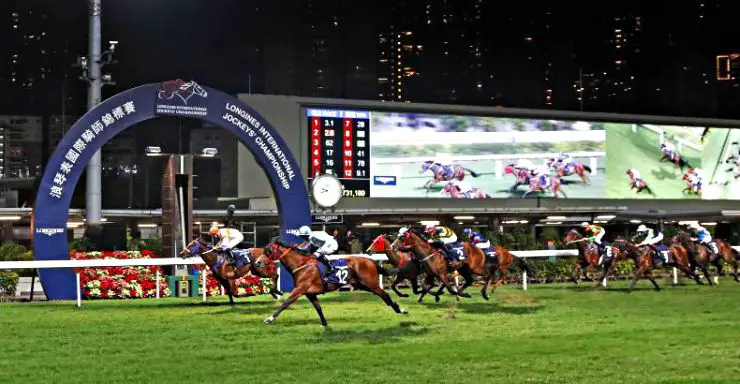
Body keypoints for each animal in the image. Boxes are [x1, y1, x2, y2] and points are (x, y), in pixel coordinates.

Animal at [262, 242, 410, 326]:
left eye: (268, 251)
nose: (258, 262)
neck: (301, 265)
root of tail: (371, 261)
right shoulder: (310, 293)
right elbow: (318, 308)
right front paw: (325, 323)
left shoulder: (300, 289)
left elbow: (285, 303)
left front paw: (269, 318)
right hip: (363, 285)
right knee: (384, 296)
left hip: (371, 284)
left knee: (385, 295)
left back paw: (400, 309)